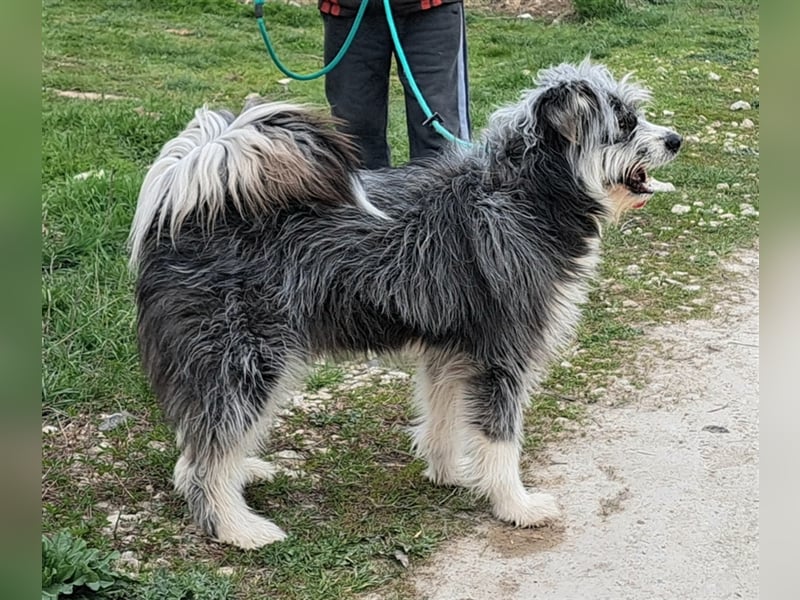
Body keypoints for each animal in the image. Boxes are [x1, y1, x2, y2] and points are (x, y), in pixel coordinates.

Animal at [130, 59, 680, 548]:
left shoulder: (451, 350)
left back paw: (241, 474)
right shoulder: (502, 355)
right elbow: (501, 440)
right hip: (247, 358)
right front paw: (514, 504)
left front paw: (451, 473)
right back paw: (235, 527)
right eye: (625, 124)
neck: (525, 193)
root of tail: (186, 202)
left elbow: (443, 419)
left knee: (197, 443)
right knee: (210, 451)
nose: (675, 139)